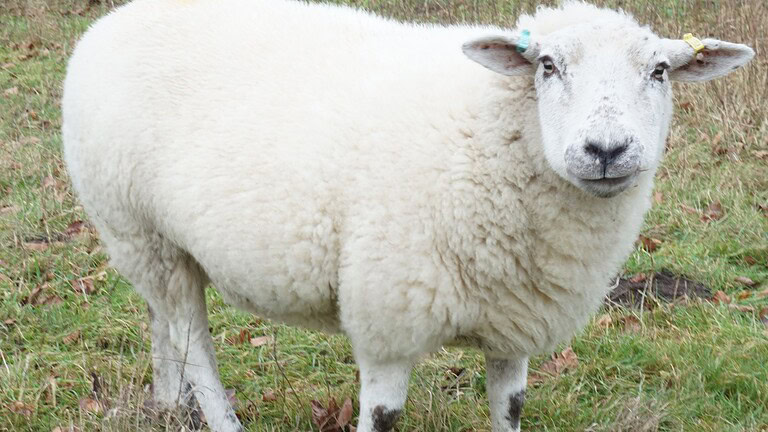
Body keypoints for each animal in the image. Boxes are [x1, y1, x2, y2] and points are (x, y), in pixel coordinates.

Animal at [61, 0, 754, 431]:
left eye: (660, 71)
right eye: (547, 65)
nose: (606, 151)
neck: (485, 132)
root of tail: (114, 20)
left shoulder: (516, 321)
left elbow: (509, 409)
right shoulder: (387, 315)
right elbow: (383, 416)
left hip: (160, 244)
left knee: (164, 324)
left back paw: (164, 405)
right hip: (136, 227)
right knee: (194, 342)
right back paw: (216, 416)